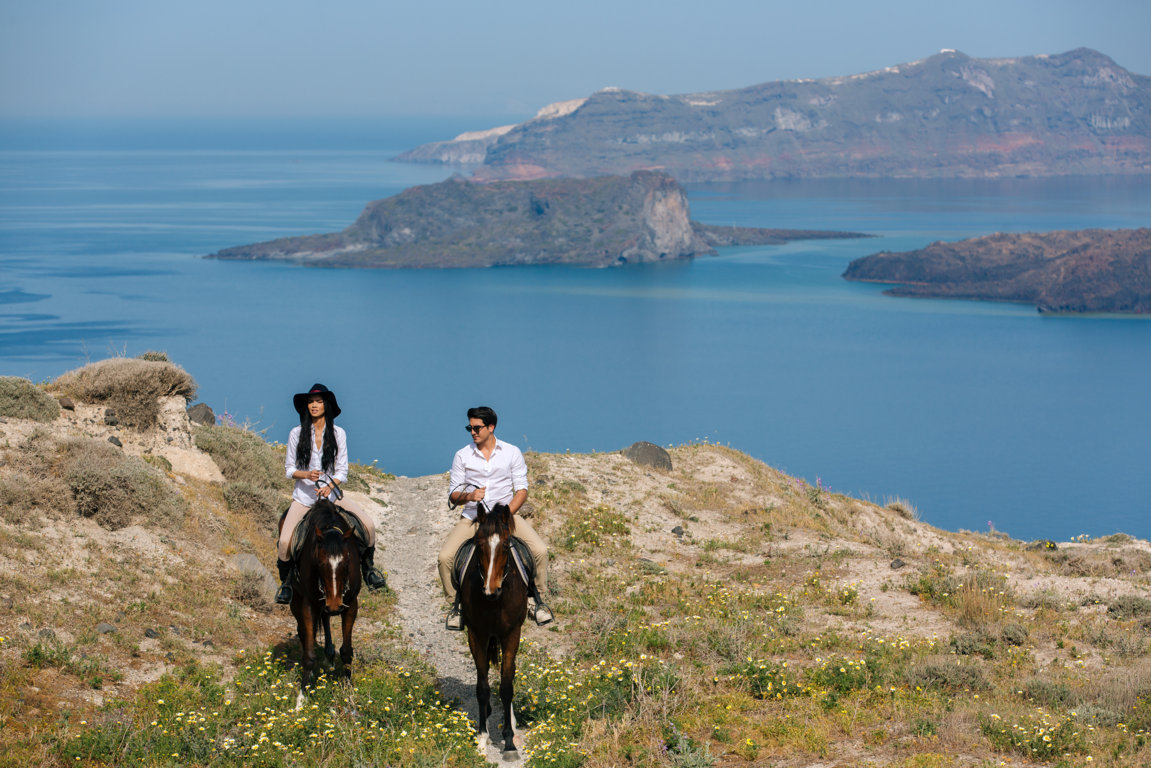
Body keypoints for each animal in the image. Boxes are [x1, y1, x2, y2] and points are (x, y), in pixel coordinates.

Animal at [278, 499, 359, 690]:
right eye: (320, 563)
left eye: (346, 562)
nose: (335, 605)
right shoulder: (309, 604)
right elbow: (308, 654)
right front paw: (302, 694)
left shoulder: (351, 604)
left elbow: (347, 651)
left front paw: (348, 689)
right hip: (297, 600)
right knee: (304, 631)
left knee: (324, 620)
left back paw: (329, 655)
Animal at [460, 502, 527, 755]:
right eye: (479, 544)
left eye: (506, 545)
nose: (491, 589)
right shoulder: (476, 634)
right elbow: (482, 687)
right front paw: (481, 737)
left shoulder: (512, 633)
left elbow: (506, 686)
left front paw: (508, 741)